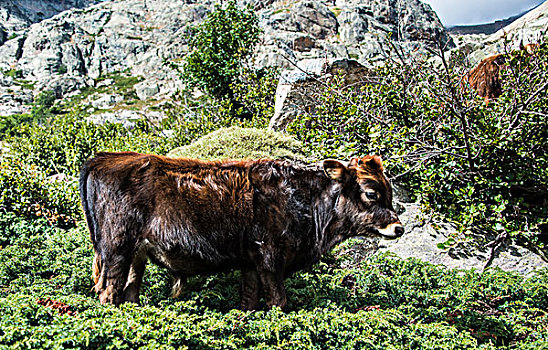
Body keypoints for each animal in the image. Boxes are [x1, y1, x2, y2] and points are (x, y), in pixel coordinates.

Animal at [79, 153, 402, 308]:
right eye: (371, 193)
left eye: (389, 191)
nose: (398, 227)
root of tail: (103, 158)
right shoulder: (270, 258)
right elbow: (277, 300)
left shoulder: (250, 263)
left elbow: (248, 301)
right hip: (116, 249)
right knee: (108, 292)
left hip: (137, 255)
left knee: (129, 292)